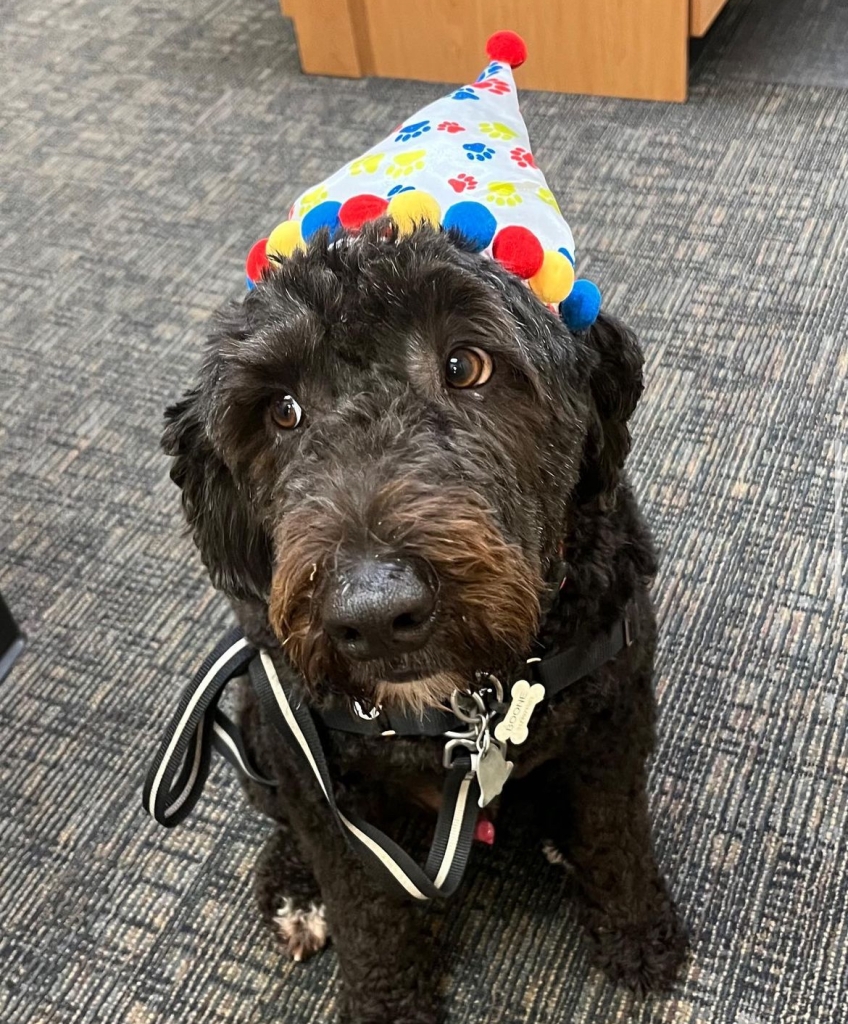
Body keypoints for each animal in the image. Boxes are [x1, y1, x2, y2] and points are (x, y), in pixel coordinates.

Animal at [160, 224, 688, 1024]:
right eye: (281, 410)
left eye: (466, 365)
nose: (376, 615)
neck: (469, 704)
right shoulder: (327, 788)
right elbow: (369, 912)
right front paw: (385, 1003)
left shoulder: (615, 719)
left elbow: (614, 833)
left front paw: (636, 930)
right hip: (261, 723)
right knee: (284, 818)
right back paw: (294, 889)